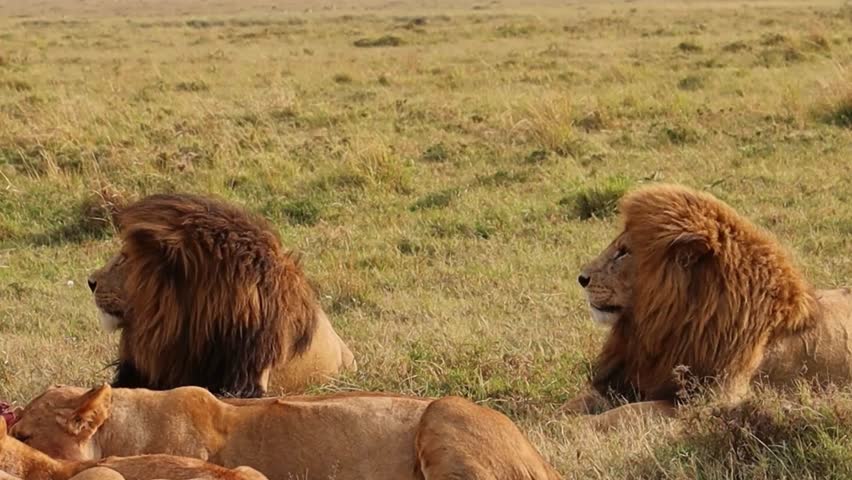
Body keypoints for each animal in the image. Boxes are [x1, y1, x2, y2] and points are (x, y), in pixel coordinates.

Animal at [563, 184, 852, 426]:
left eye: (623, 252)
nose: (581, 278)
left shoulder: (711, 402)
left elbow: (628, 412)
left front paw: (574, 428)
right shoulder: (629, 377)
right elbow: (578, 401)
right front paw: (559, 418)